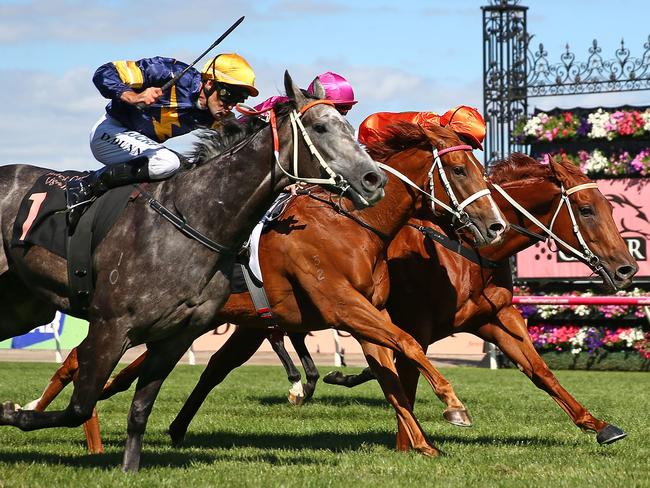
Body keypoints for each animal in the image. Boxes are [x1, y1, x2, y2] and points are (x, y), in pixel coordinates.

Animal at [25, 122, 506, 458]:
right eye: (459, 170)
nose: (495, 226)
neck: (349, 224)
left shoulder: (365, 312)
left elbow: (391, 373)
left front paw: (421, 442)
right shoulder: (343, 306)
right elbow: (409, 344)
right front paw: (453, 406)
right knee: (79, 359)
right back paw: (69, 425)